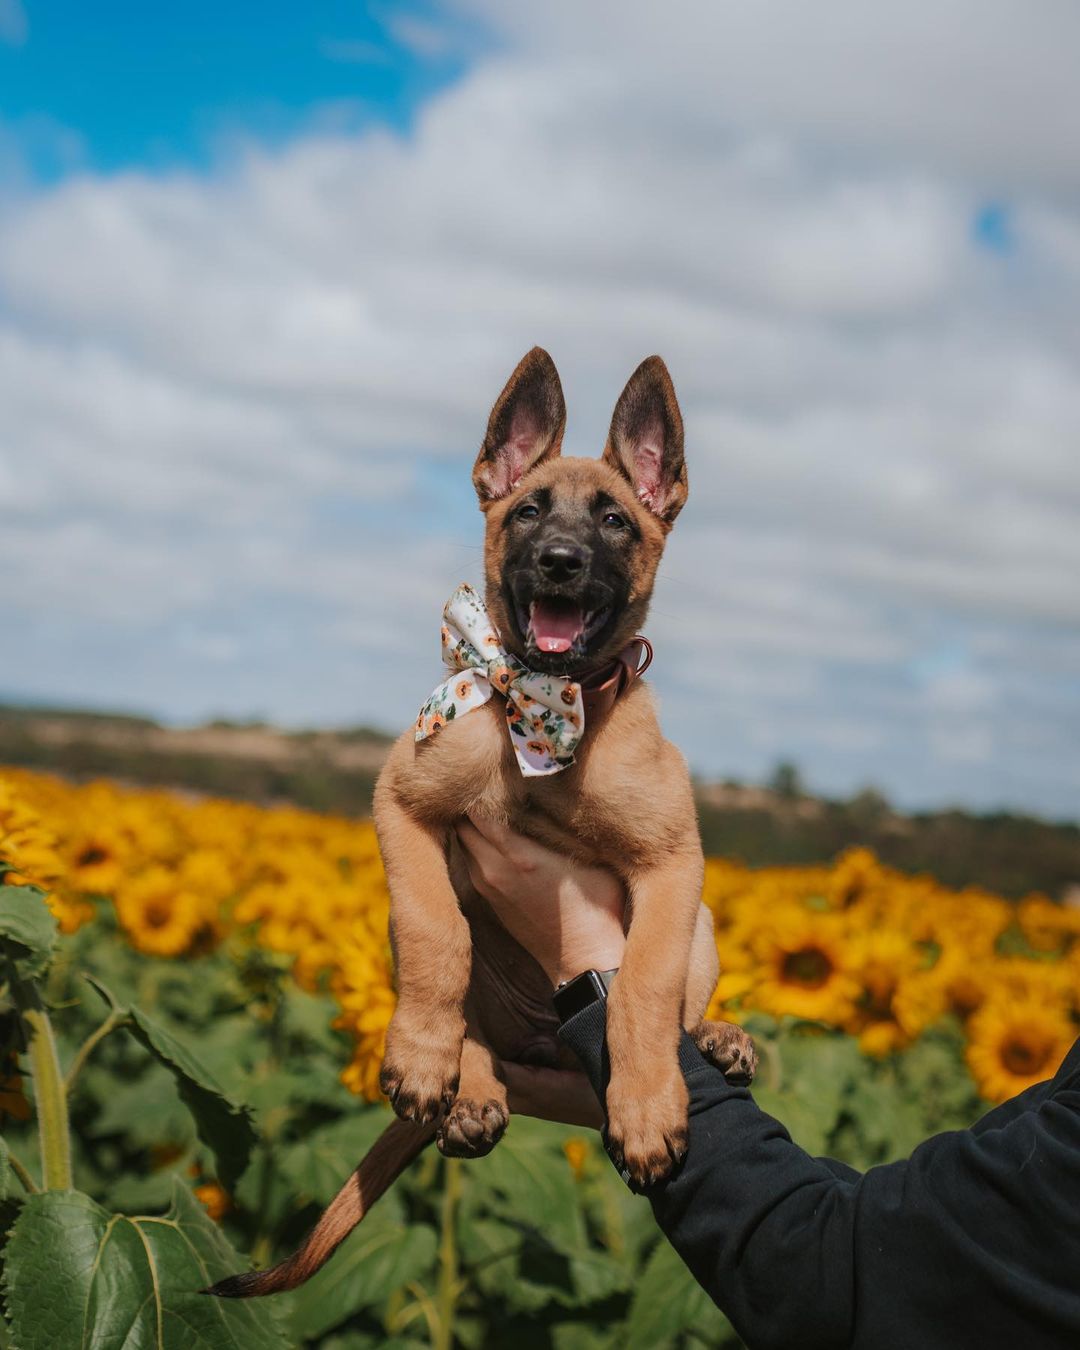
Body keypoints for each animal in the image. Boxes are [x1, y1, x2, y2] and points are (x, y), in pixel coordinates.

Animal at [209, 348, 750, 1296]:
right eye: (527, 511)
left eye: (615, 521)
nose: (561, 561)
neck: (544, 706)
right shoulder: (405, 809)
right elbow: (438, 936)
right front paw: (427, 1056)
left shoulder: (673, 864)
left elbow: (643, 988)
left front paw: (649, 1104)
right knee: (469, 1015)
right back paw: (471, 1091)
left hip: (706, 921)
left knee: (680, 1004)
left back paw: (718, 1041)